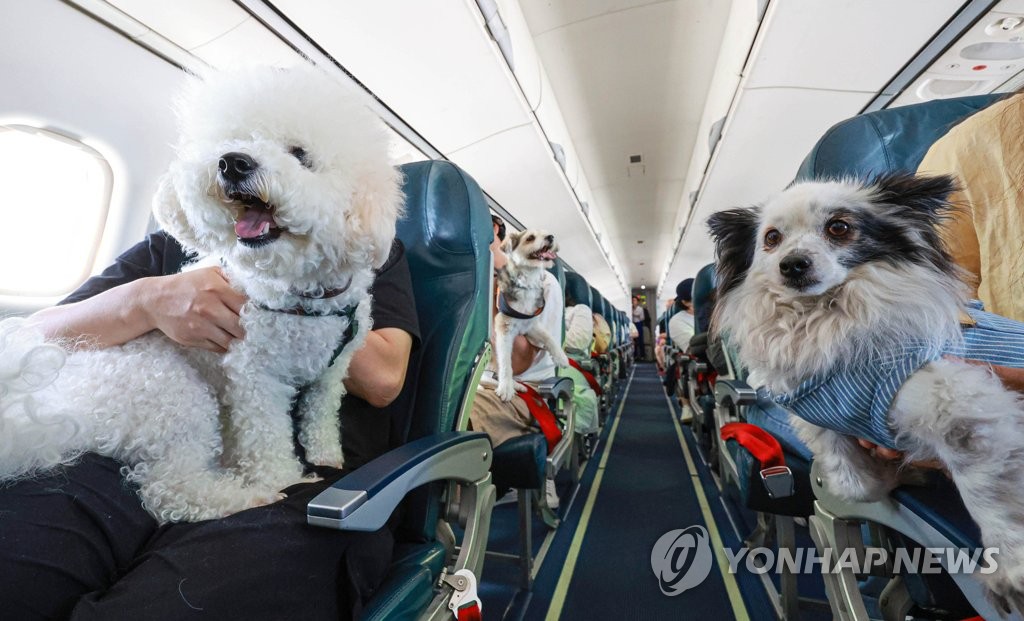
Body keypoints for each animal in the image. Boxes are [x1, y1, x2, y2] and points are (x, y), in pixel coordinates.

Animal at [0, 64, 403, 524]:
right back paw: (249, 495)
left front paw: (326, 455)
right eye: (235, 140)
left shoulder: (332, 371)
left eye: (300, 154)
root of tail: (66, 406)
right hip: (178, 397)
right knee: (170, 489)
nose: (233, 162)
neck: (307, 298)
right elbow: (267, 439)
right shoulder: (255, 377)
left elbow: (321, 413)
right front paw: (285, 478)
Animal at [489, 231, 569, 401]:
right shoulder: (504, 328)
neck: (527, 282)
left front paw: (560, 357)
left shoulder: (530, 326)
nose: (551, 237)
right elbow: (506, 362)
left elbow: (548, 337)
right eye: (530, 238)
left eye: (547, 233)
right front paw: (506, 388)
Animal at [708, 173, 1024, 614]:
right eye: (771, 239)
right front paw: (897, 477)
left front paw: (1010, 565)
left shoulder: (960, 406)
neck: (821, 320)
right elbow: (854, 483)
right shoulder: (824, 424)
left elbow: (987, 488)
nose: (793, 264)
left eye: (839, 228)